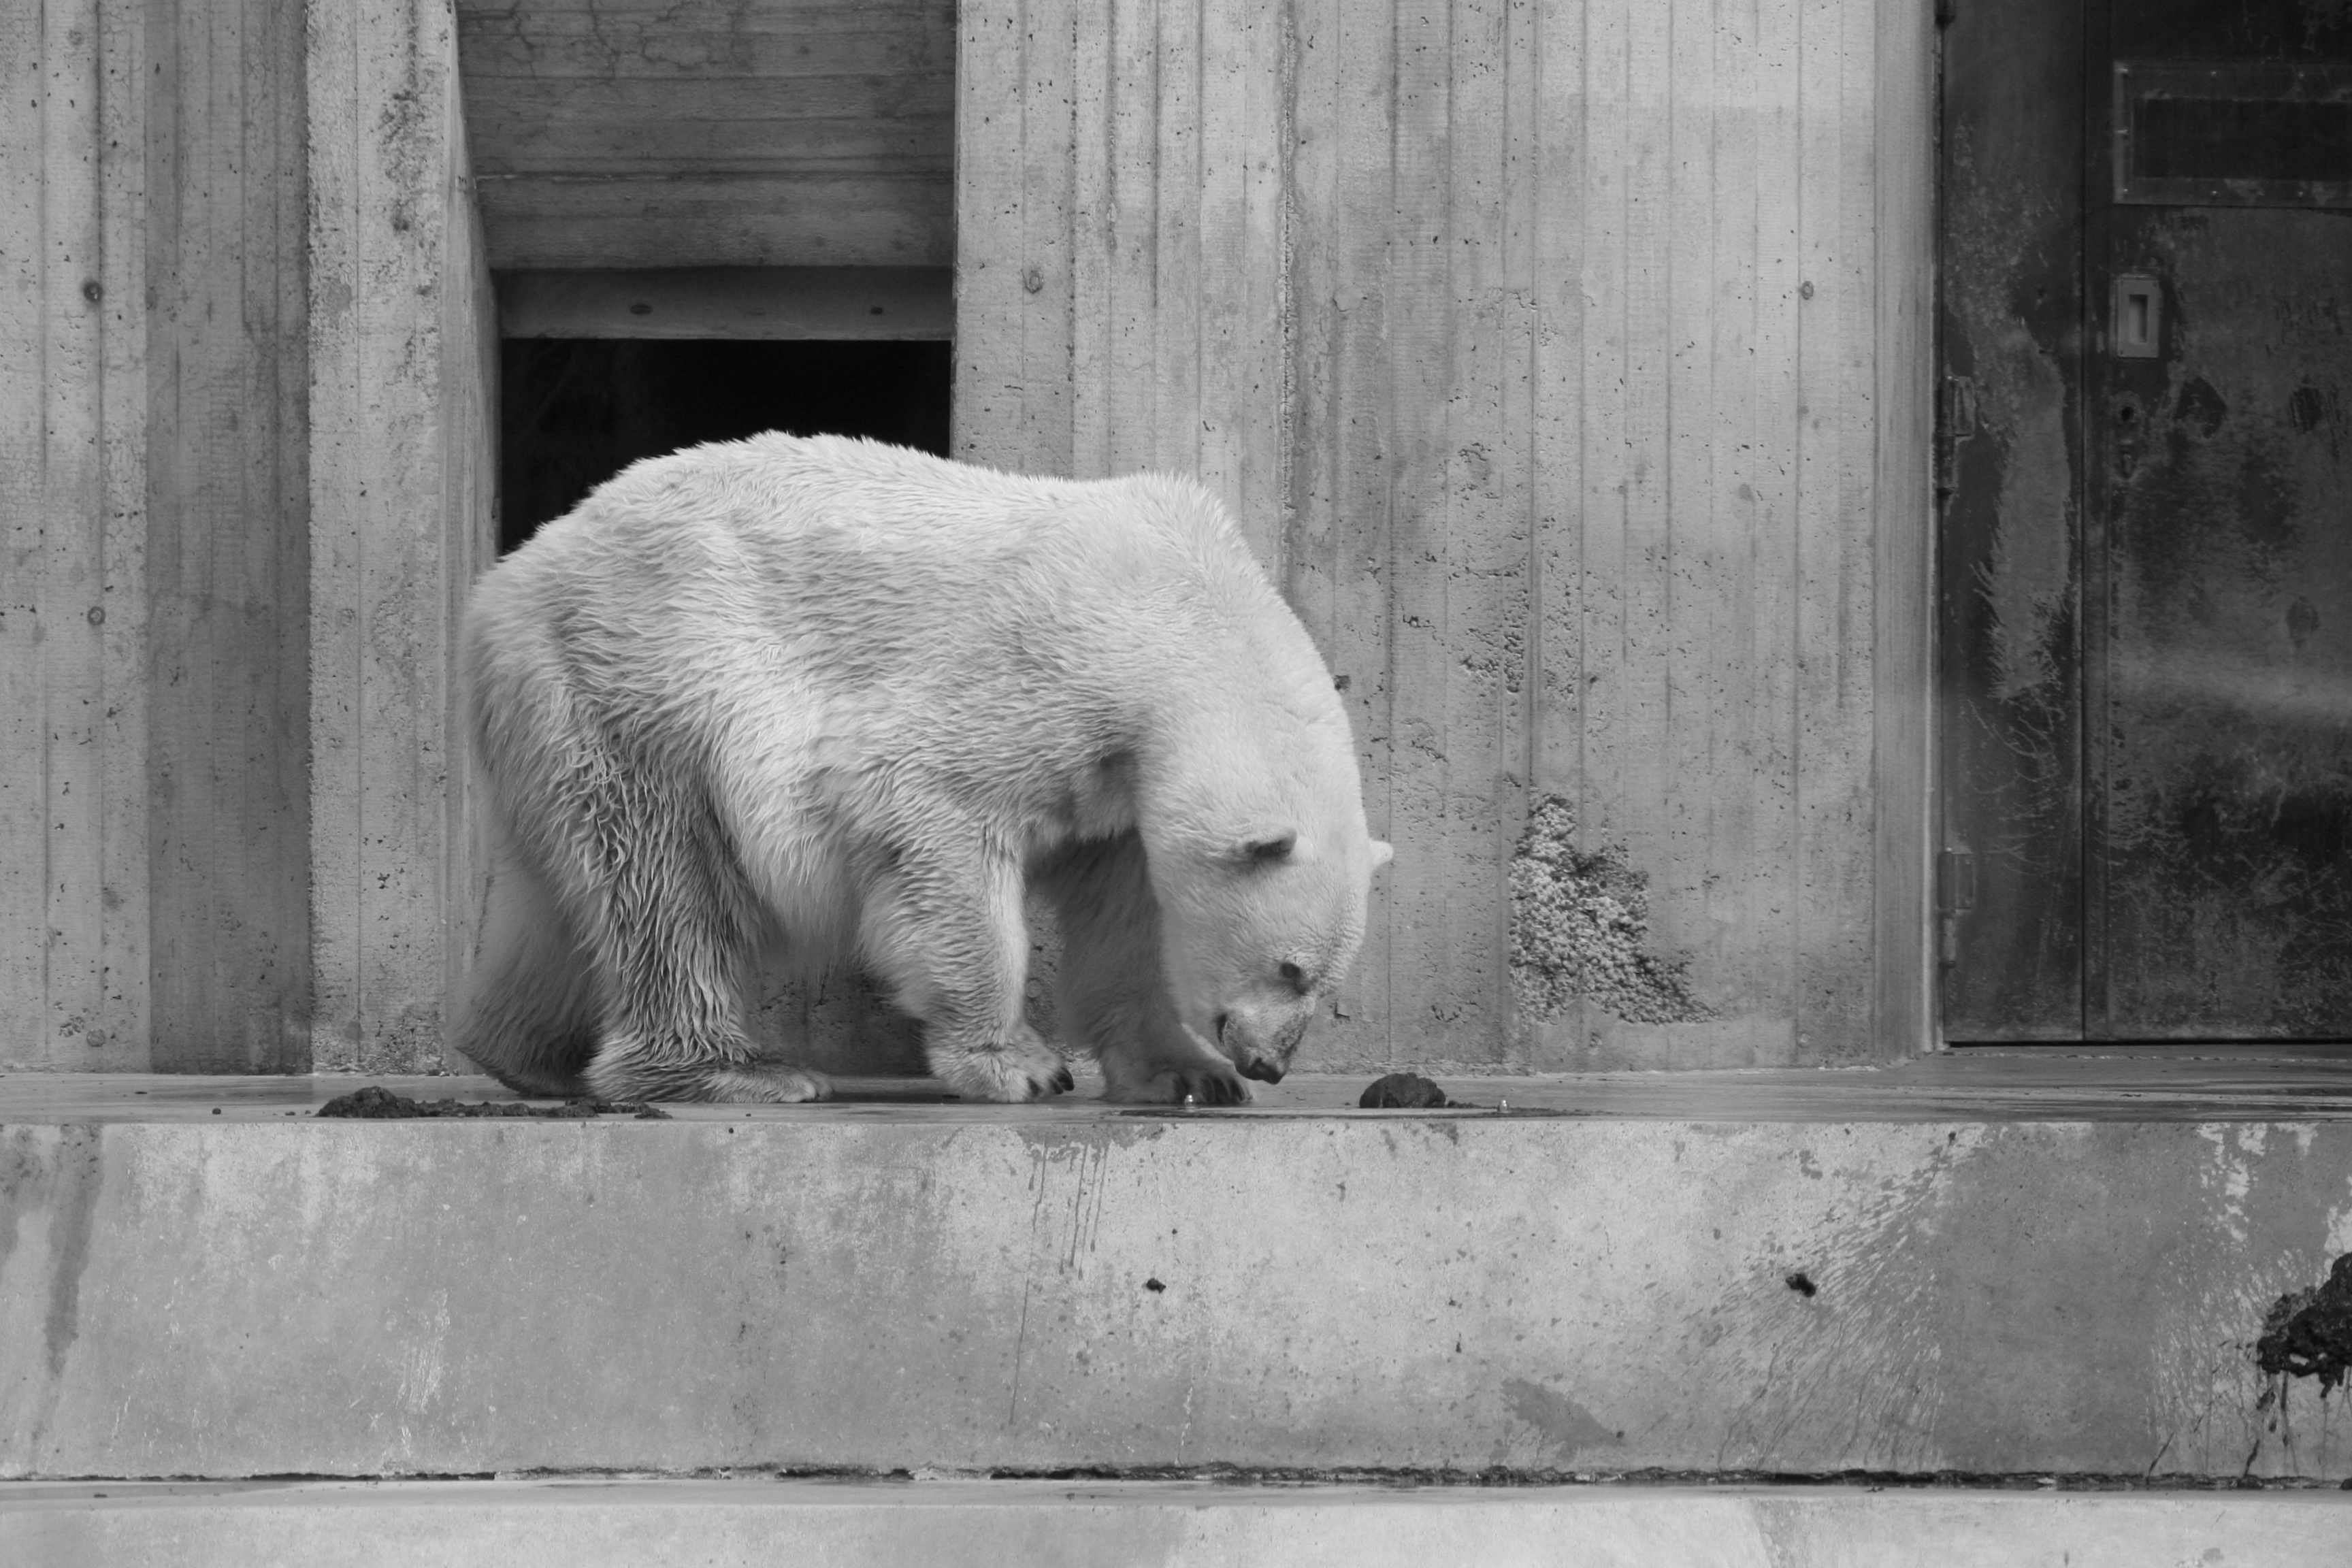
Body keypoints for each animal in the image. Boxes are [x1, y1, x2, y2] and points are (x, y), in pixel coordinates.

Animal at [449, 435, 1383, 1109]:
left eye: (1329, 980)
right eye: (1291, 969)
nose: (1268, 1064)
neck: (1177, 601)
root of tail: (509, 577)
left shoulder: (1121, 788)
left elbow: (1124, 915)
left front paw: (1188, 1074)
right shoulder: (1039, 678)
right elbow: (935, 820)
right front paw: (1018, 1064)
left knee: (566, 895)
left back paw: (526, 1056)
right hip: (645, 675)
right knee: (664, 880)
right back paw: (741, 1071)